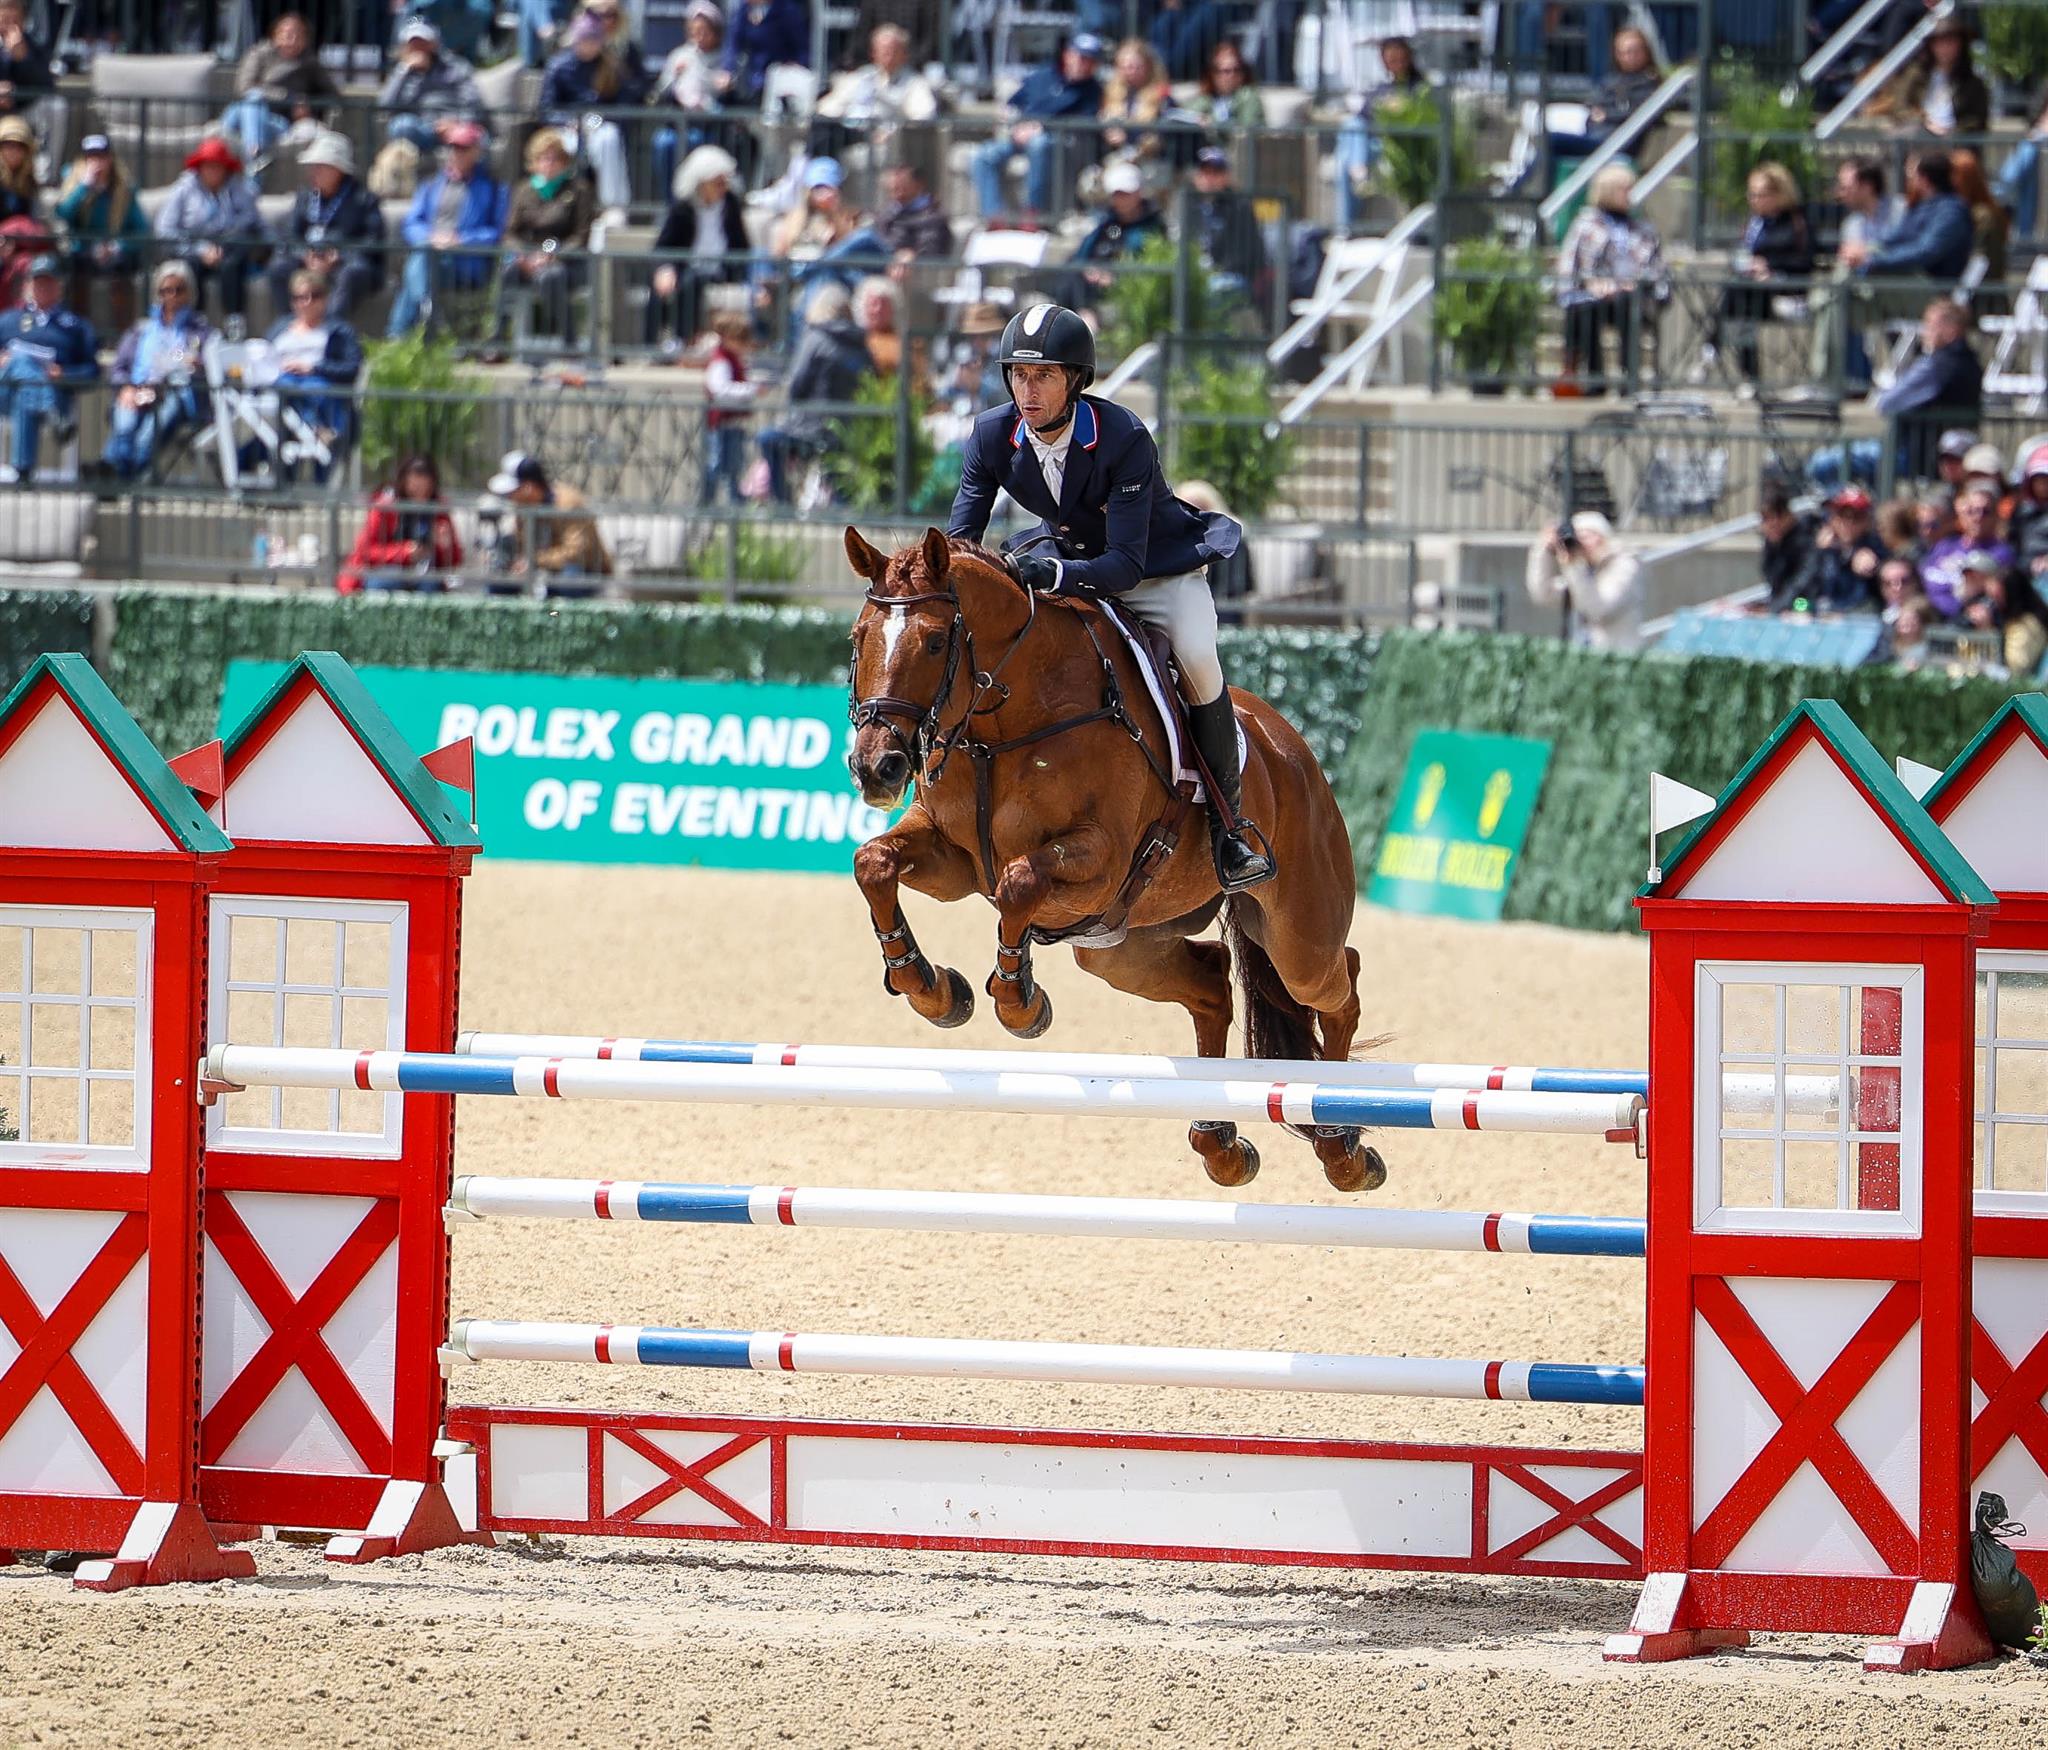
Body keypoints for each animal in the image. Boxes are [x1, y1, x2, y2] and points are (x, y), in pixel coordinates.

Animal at [839, 528, 1384, 1196]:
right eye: (859, 637)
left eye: (937, 641)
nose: (876, 768)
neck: (1003, 724)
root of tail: (1295, 749)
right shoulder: (954, 859)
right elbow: (874, 863)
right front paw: (933, 989)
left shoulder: (1099, 861)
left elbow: (1019, 883)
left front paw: (1021, 1004)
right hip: (1124, 949)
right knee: (1211, 984)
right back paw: (1221, 1145)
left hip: (1296, 937)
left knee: (1340, 983)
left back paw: (1342, 1145)